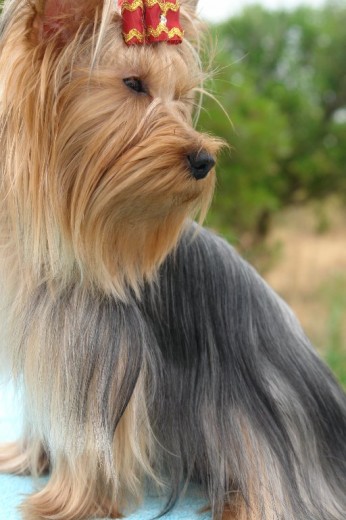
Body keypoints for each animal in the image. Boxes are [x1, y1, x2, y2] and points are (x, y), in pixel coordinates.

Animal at [0, 0, 344, 516]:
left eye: (181, 96)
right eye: (133, 84)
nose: (205, 160)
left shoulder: (98, 367)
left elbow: (91, 446)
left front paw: (68, 499)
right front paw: (28, 458)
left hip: (264, 421)